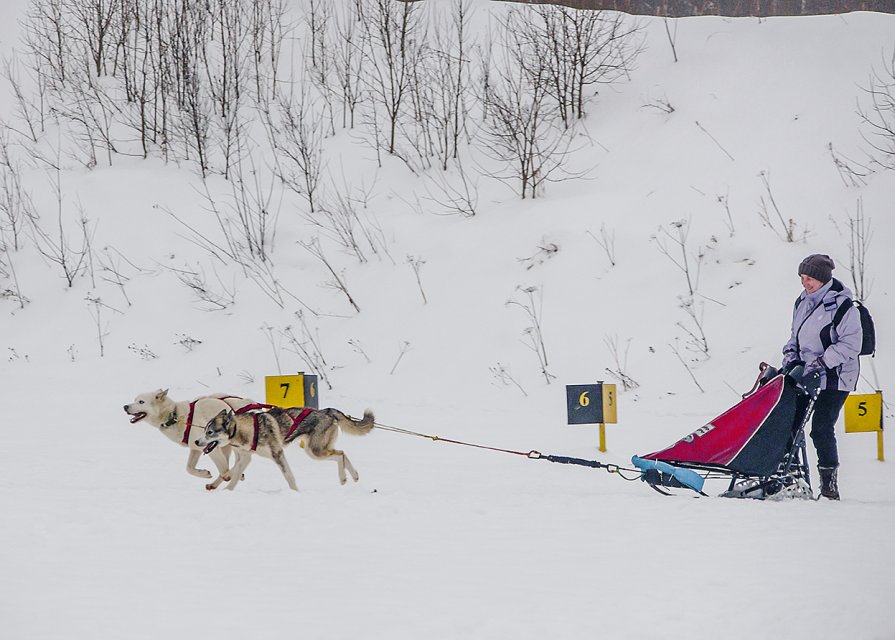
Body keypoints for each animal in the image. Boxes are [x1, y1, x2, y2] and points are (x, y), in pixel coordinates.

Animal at [122, 390, 256, 490]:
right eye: (135, 399)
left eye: (141, 401)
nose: (125, 406)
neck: (174, 416)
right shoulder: (195, 448)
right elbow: (189, 469)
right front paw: (204, 473)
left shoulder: (212, 448)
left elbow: (224, 471)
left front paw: (230, 476)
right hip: (227, 447)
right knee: (238, 461)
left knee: (243, 461)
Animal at [196, 408, 374, 492]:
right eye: (205, 430)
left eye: (210, 432)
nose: (197, 441)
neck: (246, 429)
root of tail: (327, 410)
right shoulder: (244, 458)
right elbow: (231, 475)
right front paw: (224, 490)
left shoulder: (277, 454)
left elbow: (289, 476)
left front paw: (295, 492)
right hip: (314, 450)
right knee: (342, 453)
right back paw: (354, 476)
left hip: (315, 451)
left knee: (340, 454)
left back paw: (343, 478)